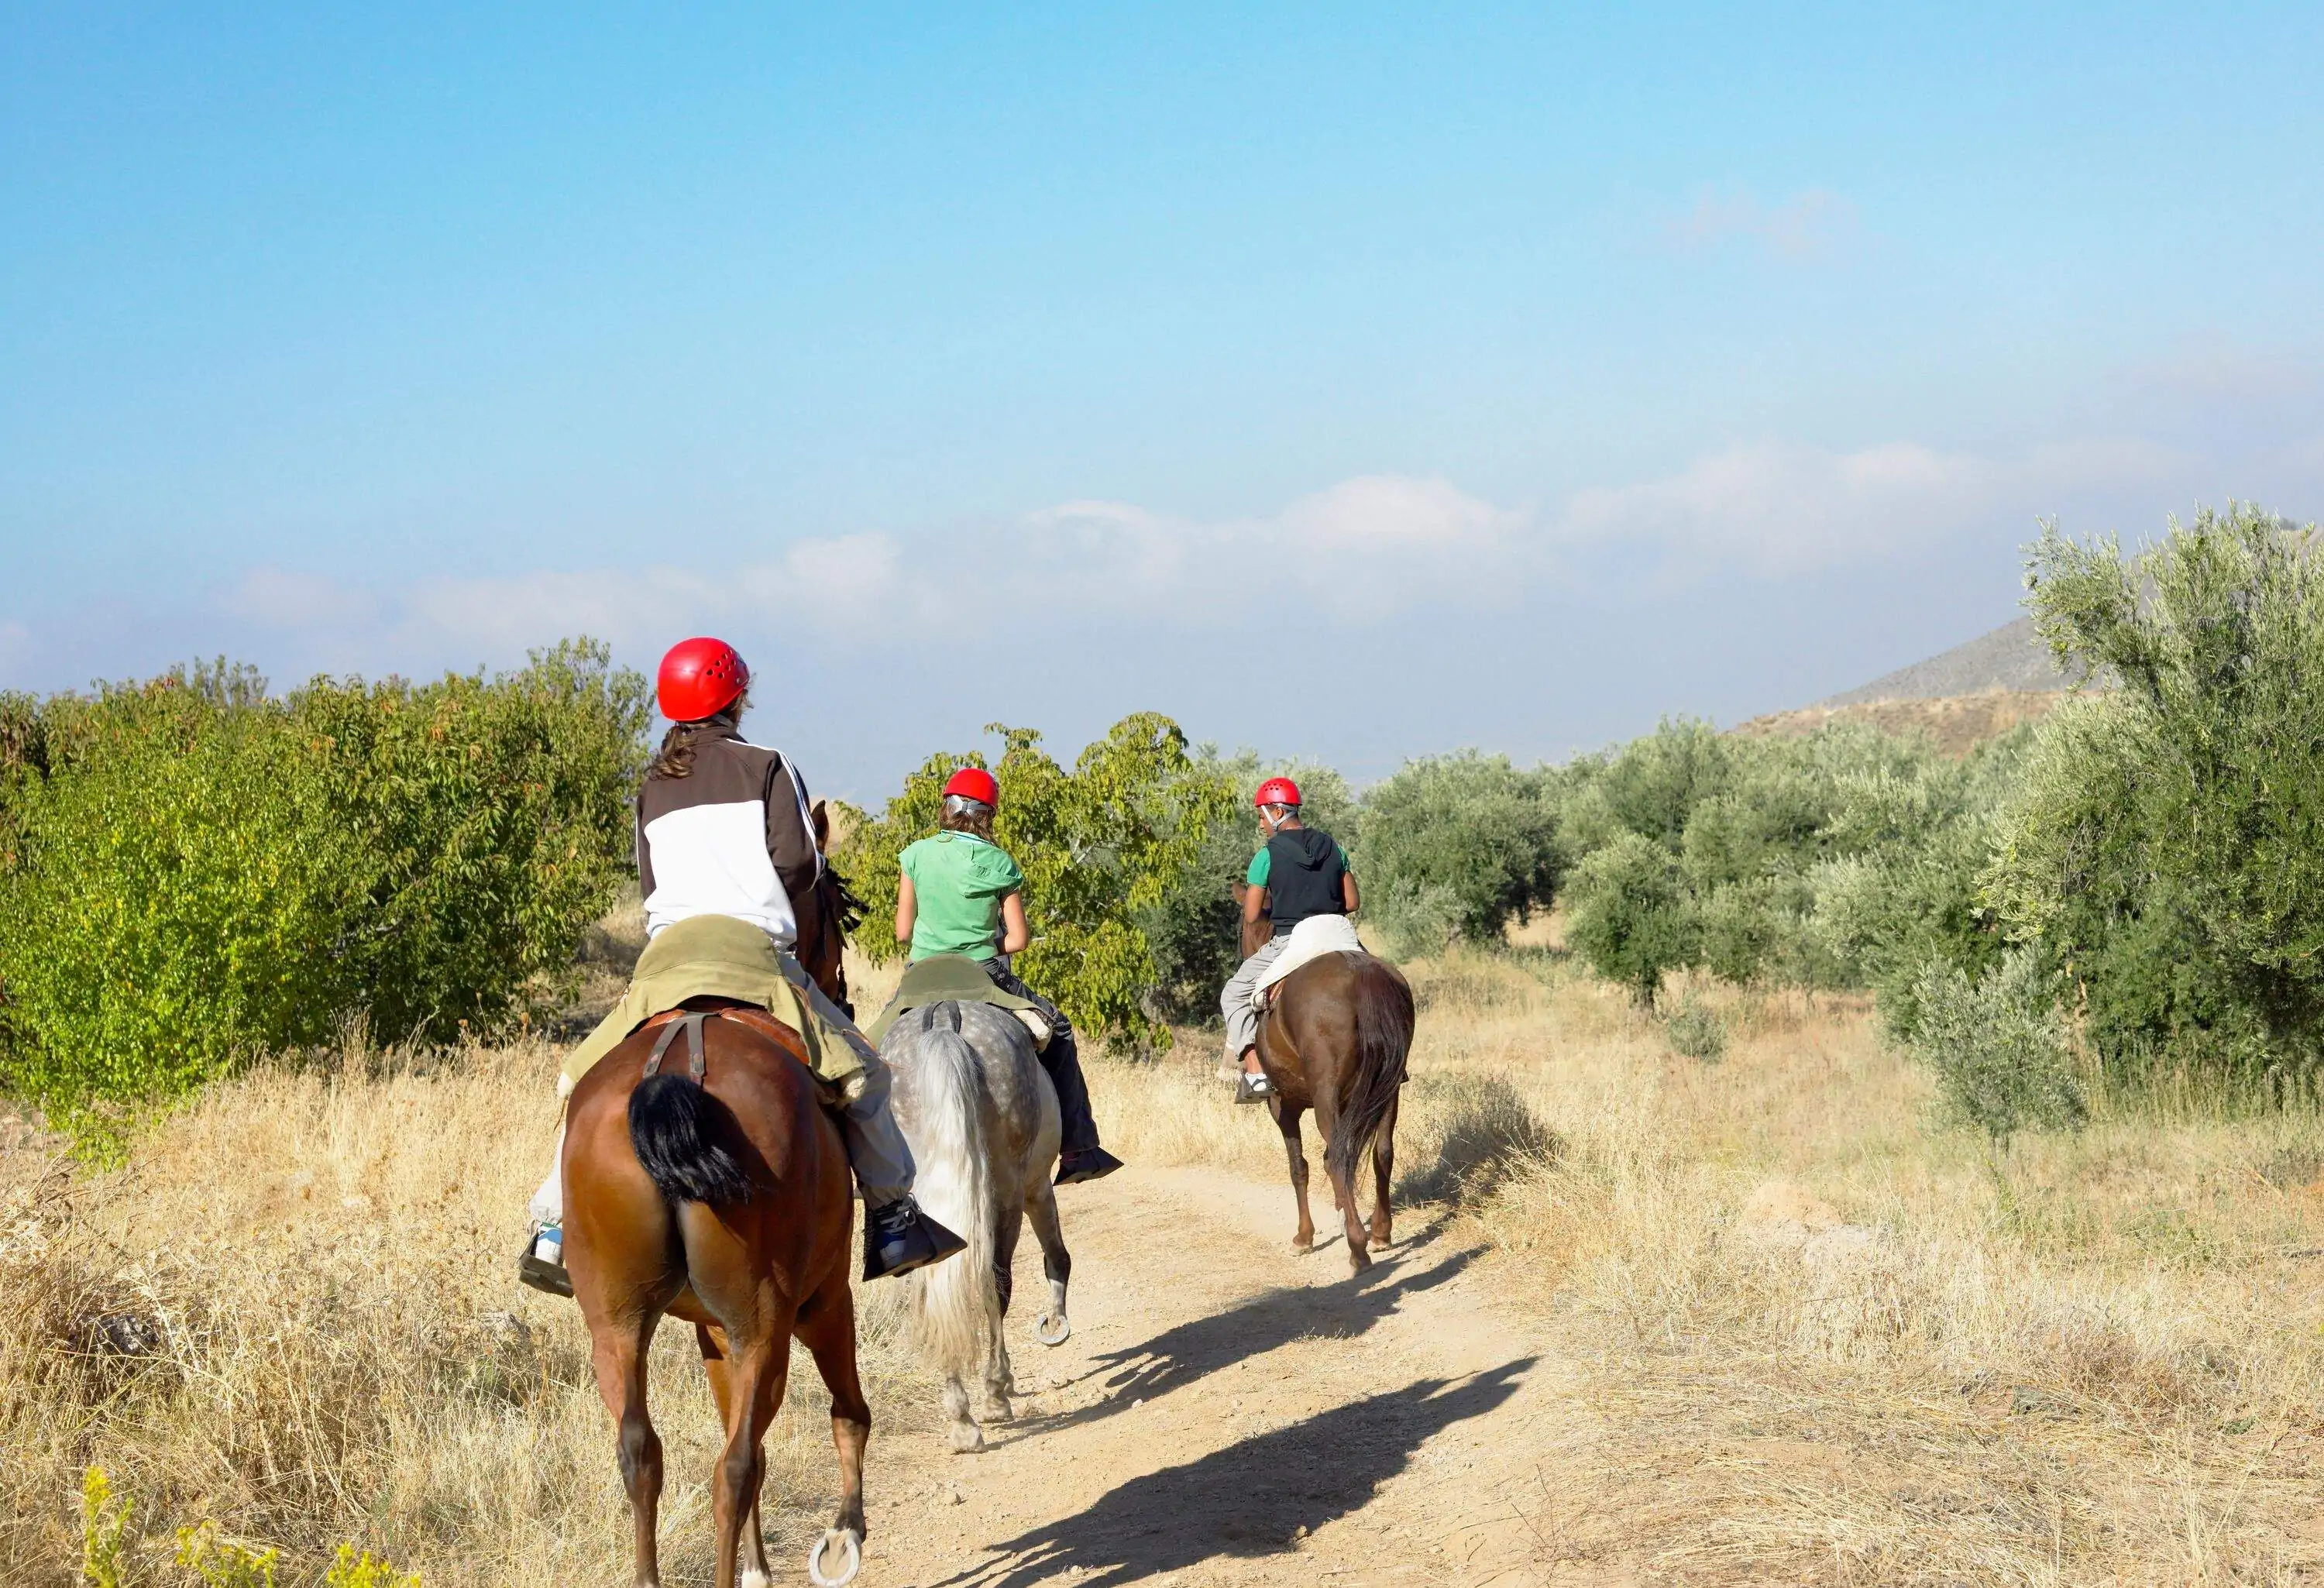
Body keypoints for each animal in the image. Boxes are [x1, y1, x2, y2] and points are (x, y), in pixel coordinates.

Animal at [565, 809, 878, 1588]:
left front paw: (760, 1566)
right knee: (734, 1466)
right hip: (767, 1317)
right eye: (835, 906)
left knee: (641, 1452)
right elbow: (845, 1413)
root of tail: (671, 1081)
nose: (842, 991)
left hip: (616, 1321)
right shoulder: (822, 1298)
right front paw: (843, 1536)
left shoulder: (711, 1329)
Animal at [883, 1004, 1074, 1450]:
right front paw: (1055, 1322)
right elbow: (1056, 1257)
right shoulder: (1037, 1187)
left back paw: (961, 1418)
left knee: (934, 1289)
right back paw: (994, 1393)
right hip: (1007, 1189)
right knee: (998, 1281)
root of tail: (944, 1019)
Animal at [1236, 892, 1413, 1283]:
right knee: (1381, 1152)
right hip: (1388, 1089)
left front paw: (1304, 1237)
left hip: (1324, 1097)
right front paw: (1340, 1208)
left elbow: (1298, 1167)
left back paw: (1358, 1250)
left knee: (1339, 1158)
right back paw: (1380, 1233)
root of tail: (1360, 974)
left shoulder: (1282, 1106)